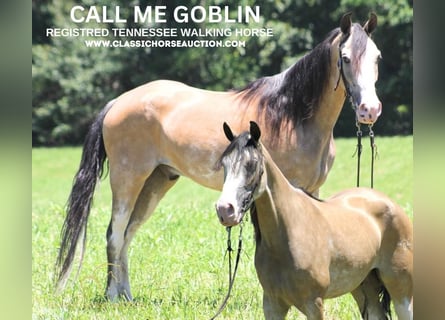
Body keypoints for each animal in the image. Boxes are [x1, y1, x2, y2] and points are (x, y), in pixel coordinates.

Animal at [55, 12, 382, 302]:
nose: (369, 110)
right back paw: (113, 297)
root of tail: (117, 103)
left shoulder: (312, 190)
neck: (291, 114)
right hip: (127, 181)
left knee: (127, 234)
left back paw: (127, 296)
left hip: (156, 182)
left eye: (377, 57)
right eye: (346, 58)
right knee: (115, 233)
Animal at [215, 121, 412, 318]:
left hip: (401, 292)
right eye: (224, 164)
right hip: (363, 287)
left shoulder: (314, 304)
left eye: (252, 164)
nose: (225, 209)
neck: (288, 232)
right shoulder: (272, 304)